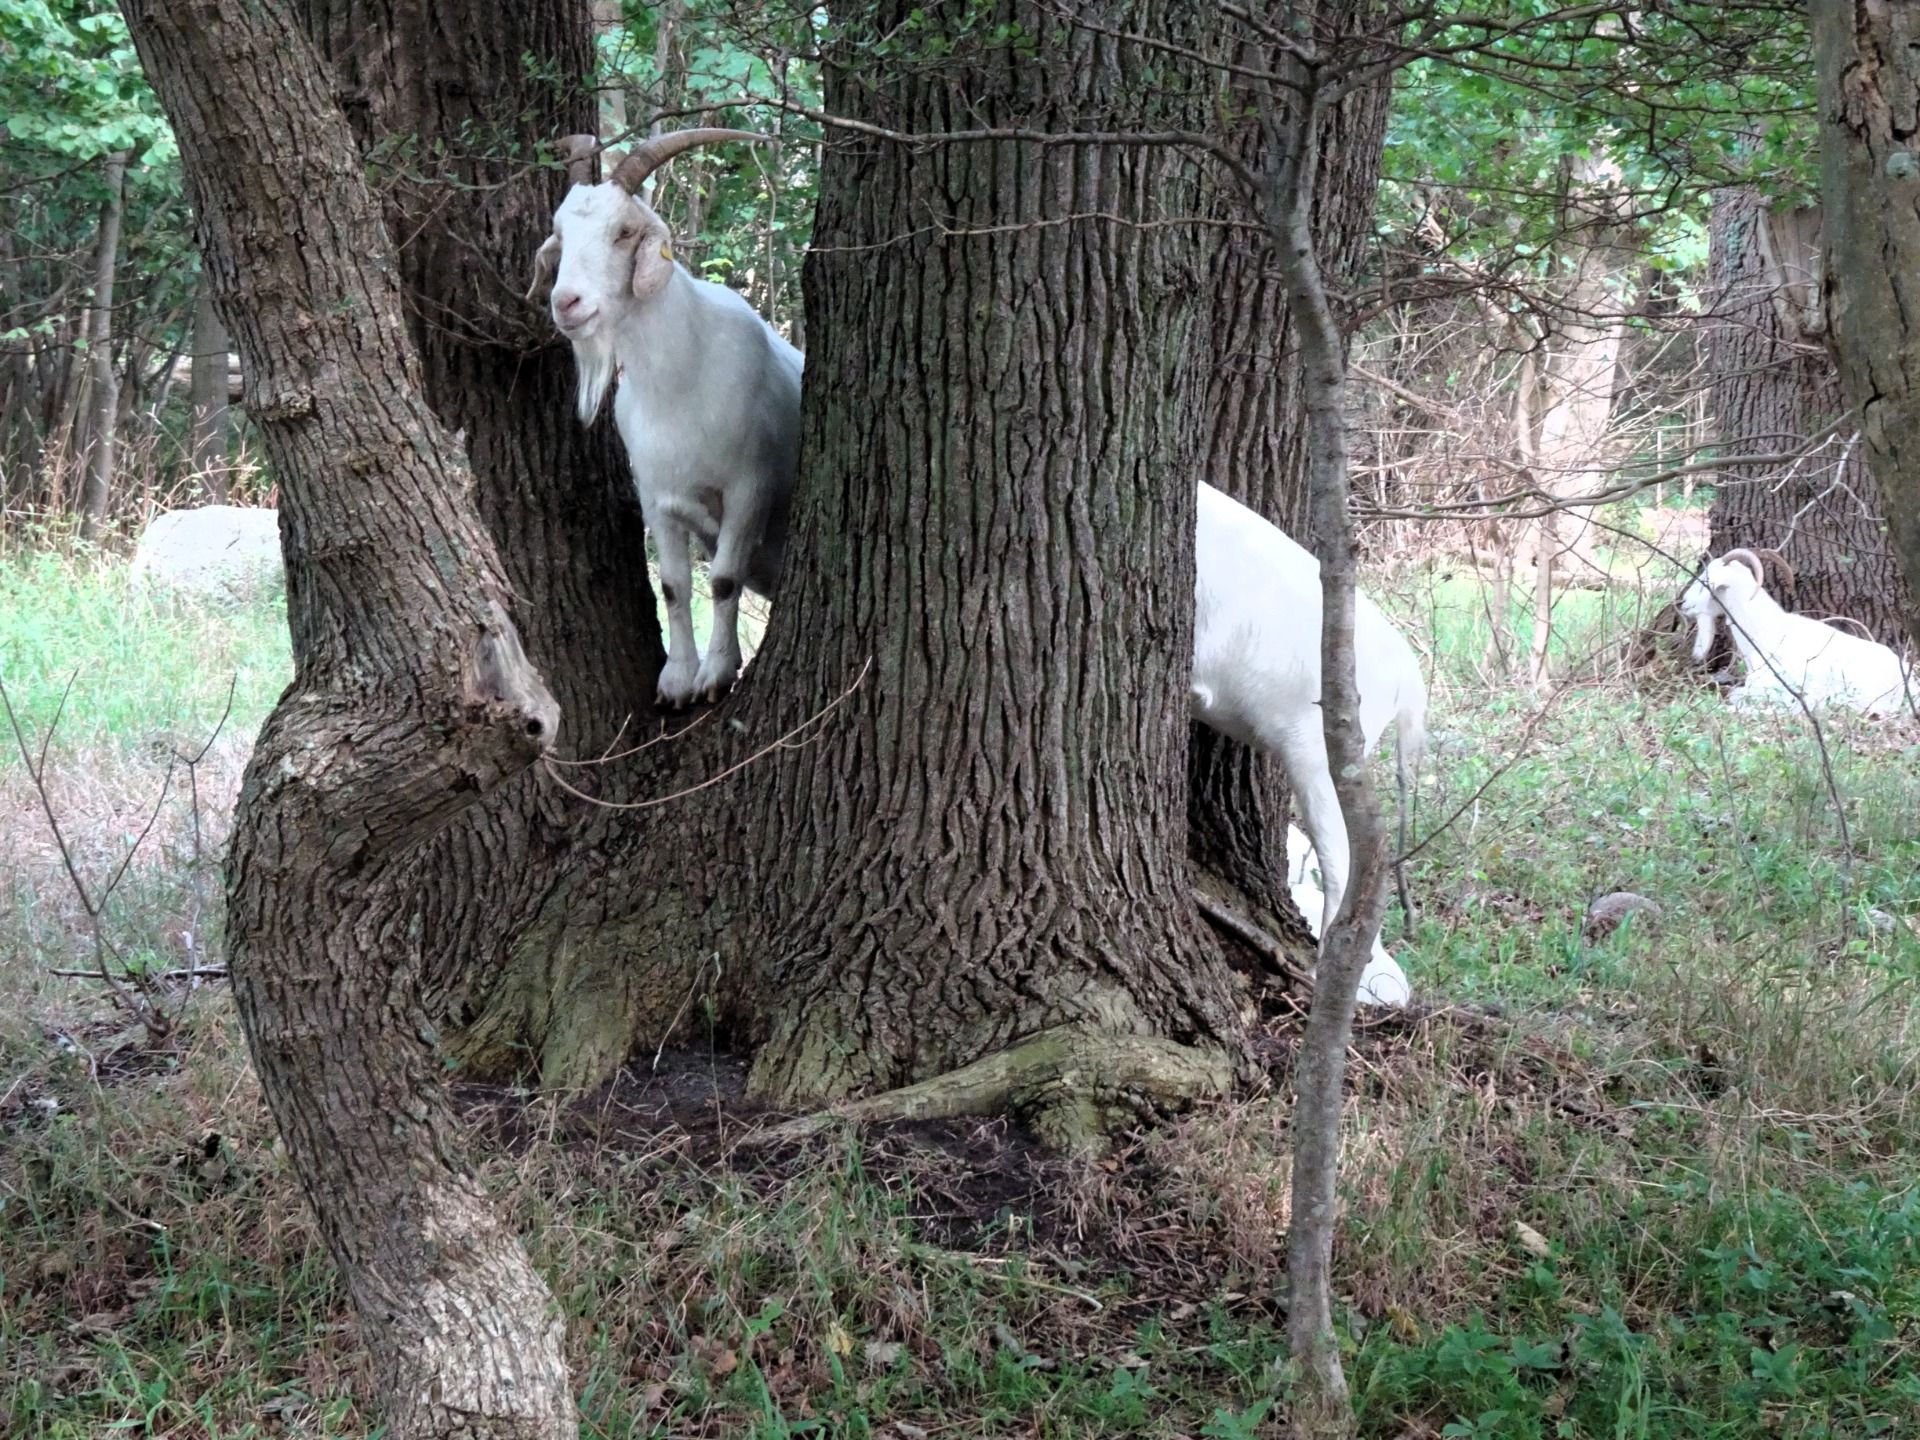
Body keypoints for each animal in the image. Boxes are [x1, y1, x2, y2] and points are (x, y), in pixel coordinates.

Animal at [528, 129, 802, 708]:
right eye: (560, 237)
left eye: (625, 232)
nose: (567, 303)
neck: (681, 379)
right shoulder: (657, 495)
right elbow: (674, 586)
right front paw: (677, 681)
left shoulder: (749, 487)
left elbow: (722, 579)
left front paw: (715, 675)